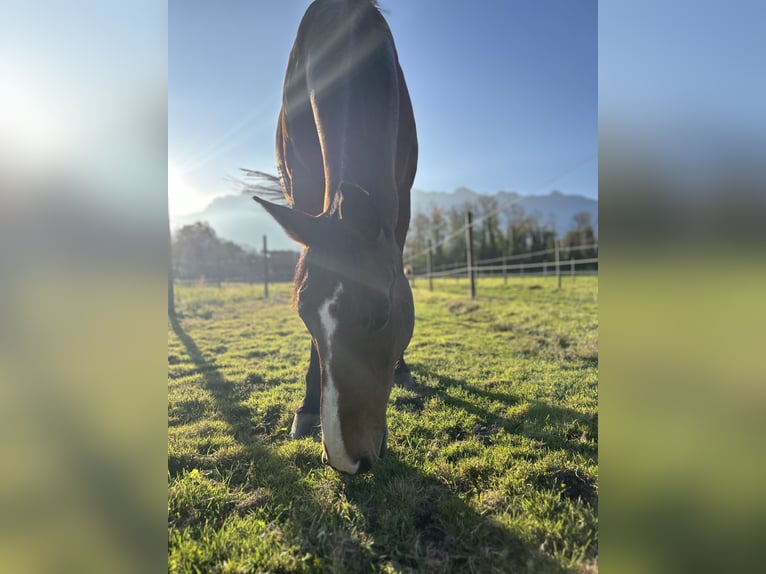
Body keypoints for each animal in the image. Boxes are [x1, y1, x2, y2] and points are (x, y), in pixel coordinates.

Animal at [254, 0, 420, 476]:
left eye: (381, 315)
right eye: (304, 316)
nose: (349, 459)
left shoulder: (401, 193)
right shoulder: (304, 189)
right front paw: (308, 407)